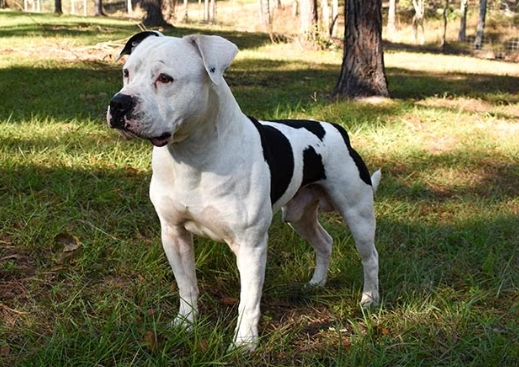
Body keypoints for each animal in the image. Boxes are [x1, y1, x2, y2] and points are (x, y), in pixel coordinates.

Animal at [106, 32, 382, 354]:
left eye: (165, 78)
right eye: (127, 73)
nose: (119, 103)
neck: (193, 154)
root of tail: (337, 128)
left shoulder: (251, 246)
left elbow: (248, 300)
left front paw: (244, 343)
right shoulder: (173, 233)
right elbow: (186, 284)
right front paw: (186, 323)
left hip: (358, 214)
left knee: (370, 256)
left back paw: (369, 299)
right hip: (298, 215)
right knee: (324, 241)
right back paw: (317, 283)